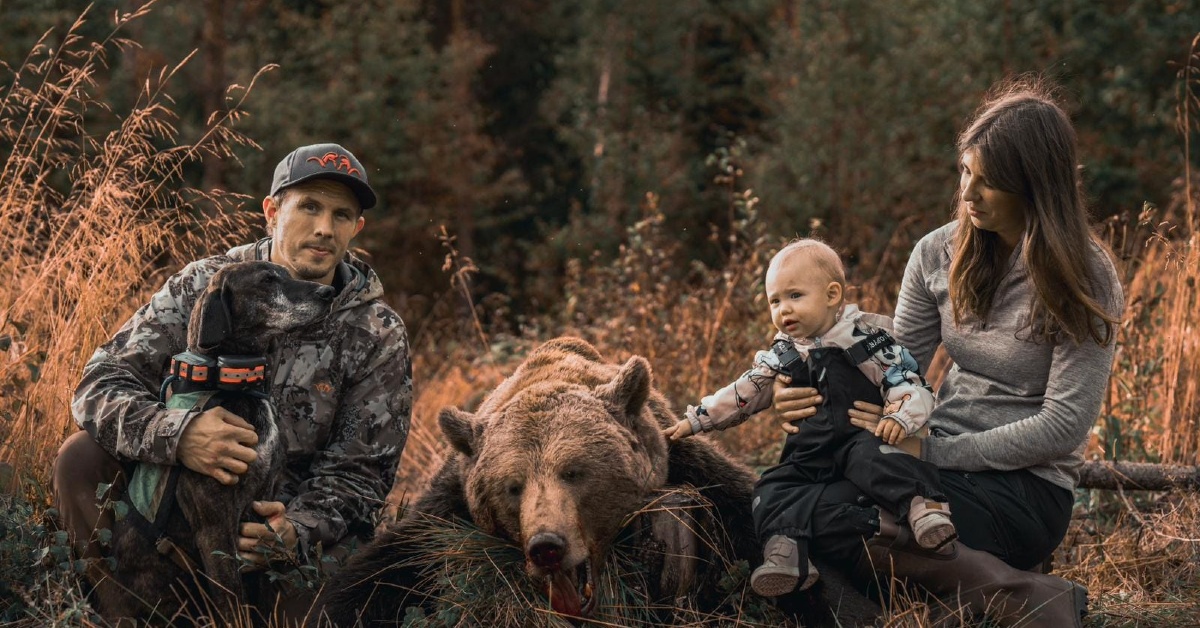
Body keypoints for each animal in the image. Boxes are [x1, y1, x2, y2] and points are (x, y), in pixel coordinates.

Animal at [94, 261, 333, 624]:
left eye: (288, 274)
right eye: (267, 281)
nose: (328, 292)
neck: (234, 386)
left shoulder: (262, 508)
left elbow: (260, 589)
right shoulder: (215, 528)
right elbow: (233, 603)